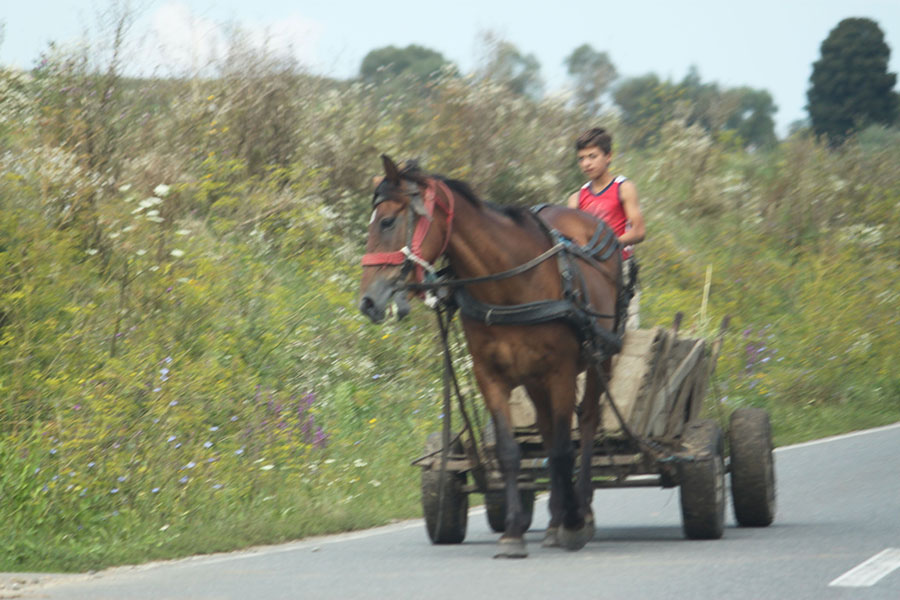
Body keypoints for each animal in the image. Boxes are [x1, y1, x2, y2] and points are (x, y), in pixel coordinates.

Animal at [356, 156, 624, 556]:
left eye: (387, 221)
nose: (367, 301)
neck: (508, 282)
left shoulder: (560, 373)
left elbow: (565, 450)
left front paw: (575, 523)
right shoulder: (490, 376)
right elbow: (511, 452)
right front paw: (513, 532)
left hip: (598, 359)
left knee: (587, 425)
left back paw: (581, 512)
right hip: (533, 381)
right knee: (546, 432)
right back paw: (554, 521)